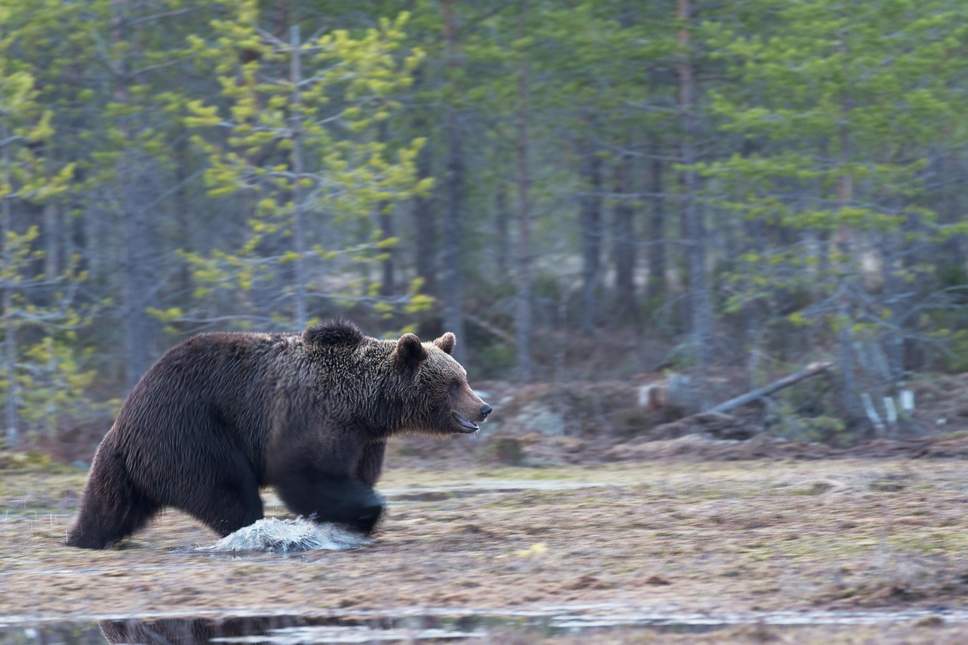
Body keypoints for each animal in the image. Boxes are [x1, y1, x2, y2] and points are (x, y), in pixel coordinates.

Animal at [66, 322, 492, 548]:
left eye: (464, 376)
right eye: (454, 383)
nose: (484, 407)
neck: (367, 408)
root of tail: (126, 415)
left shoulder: (365, 440)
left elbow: (354, 474)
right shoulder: (313, 417)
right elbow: (307, 474)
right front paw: (361, 513)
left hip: (132, 461)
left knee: (110, 504)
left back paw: (82, 536)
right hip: (192, 433)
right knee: (227, 491)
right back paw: (252, 530)